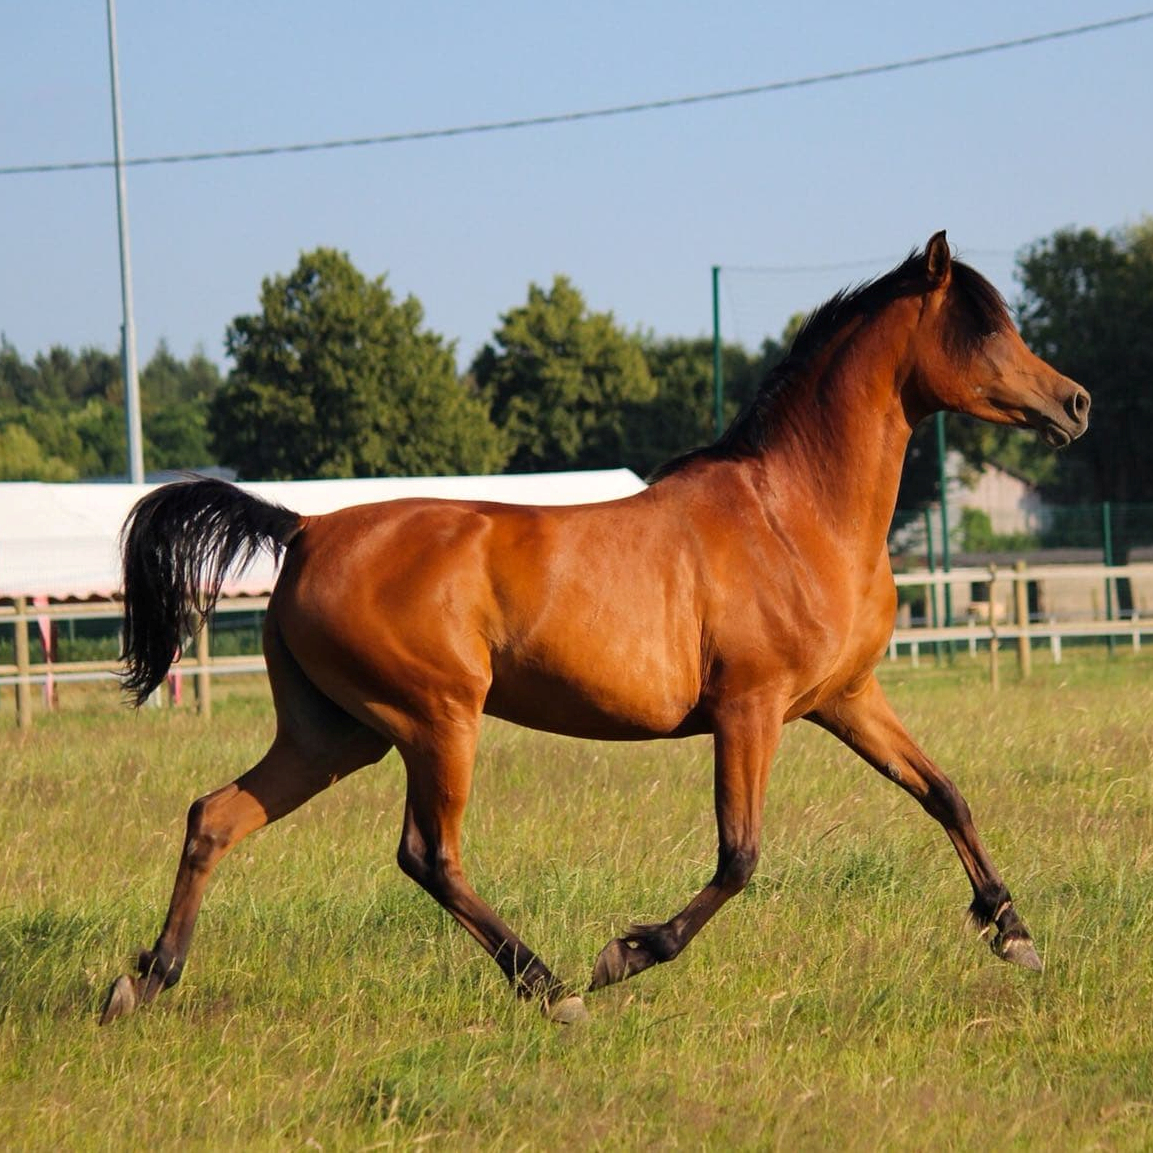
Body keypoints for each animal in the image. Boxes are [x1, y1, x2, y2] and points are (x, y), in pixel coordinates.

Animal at [100, 233, 1089, 1025]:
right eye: (985, 328)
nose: (1073, 403)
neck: (795, 512)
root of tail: (304, 529)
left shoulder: (844, 696)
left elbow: (943, 793)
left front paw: (1013, 933)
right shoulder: (749, 711)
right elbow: (739, 855)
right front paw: (628, 953)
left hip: (334, 733)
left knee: (216, 816)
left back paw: (145, 980)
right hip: (434, 721)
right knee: (428, 854)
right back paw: (551, 987)